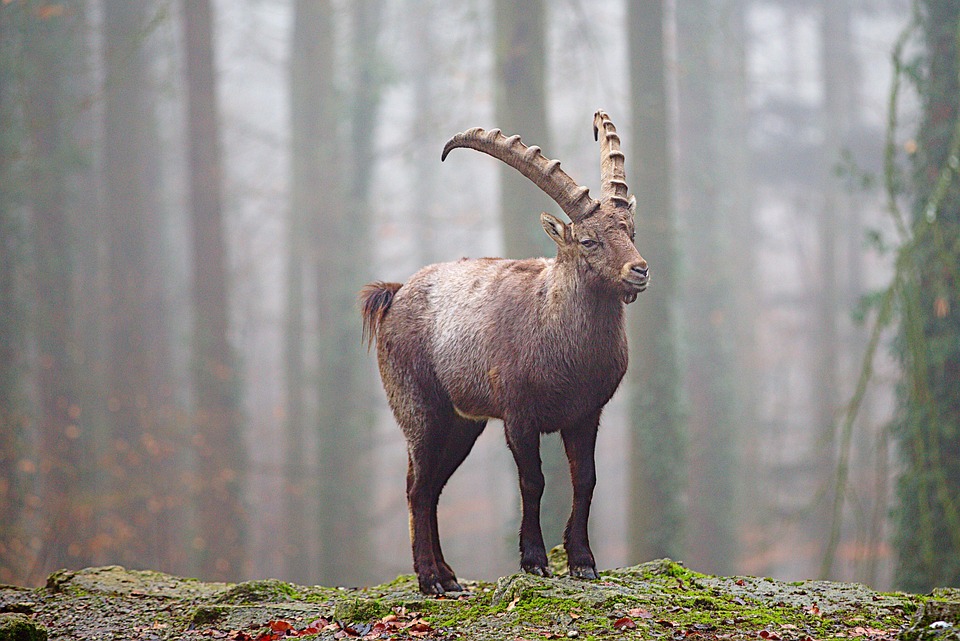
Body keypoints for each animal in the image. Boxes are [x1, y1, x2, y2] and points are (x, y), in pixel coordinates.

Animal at [360, 111, 648, 594]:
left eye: (629, 231)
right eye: (588, 241)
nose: (639, 270)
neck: (561, 338)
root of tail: (396, 293)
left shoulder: (586, 414)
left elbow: (586, 480)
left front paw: (583, 562)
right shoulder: (519, 416)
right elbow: (533, 481)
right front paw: (534, 560)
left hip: (463, 424)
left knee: (433, 486)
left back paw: (449, 576)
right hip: (420, 410)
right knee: (417, 487)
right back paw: (429, 579)